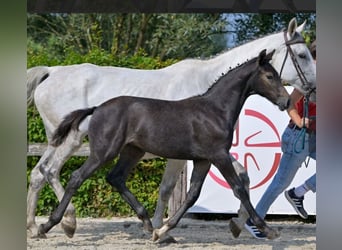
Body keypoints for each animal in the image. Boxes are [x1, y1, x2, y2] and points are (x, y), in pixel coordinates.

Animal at [27, 18, 316, 238]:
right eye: (302, 55)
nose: (310, 89)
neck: (210, 100)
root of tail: (51, 71)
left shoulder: (208, 156)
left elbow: (236, 181)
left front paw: (236, 223)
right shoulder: (196, 156)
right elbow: (176, 189)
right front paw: (161, 229)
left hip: (81, 143)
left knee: (41, 173)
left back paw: (34, 227)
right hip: (80, 143)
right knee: (58, 173)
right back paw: (65, 221)